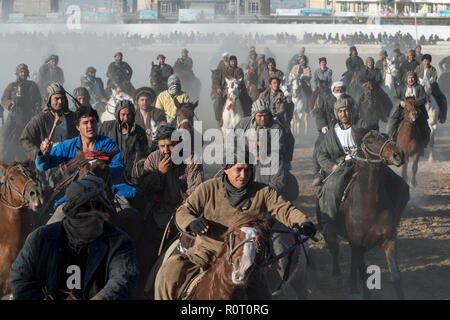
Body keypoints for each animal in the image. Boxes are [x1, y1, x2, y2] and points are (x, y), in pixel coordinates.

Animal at [318, 130, 410, 300]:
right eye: (370, 141)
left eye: (386, 136)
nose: (398, 155)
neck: (371, 205)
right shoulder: (359, 244)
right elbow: (363, 277)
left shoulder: (388, 240)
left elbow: (396, 277)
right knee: (334, 249)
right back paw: (338, 278)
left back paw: (352, 287)